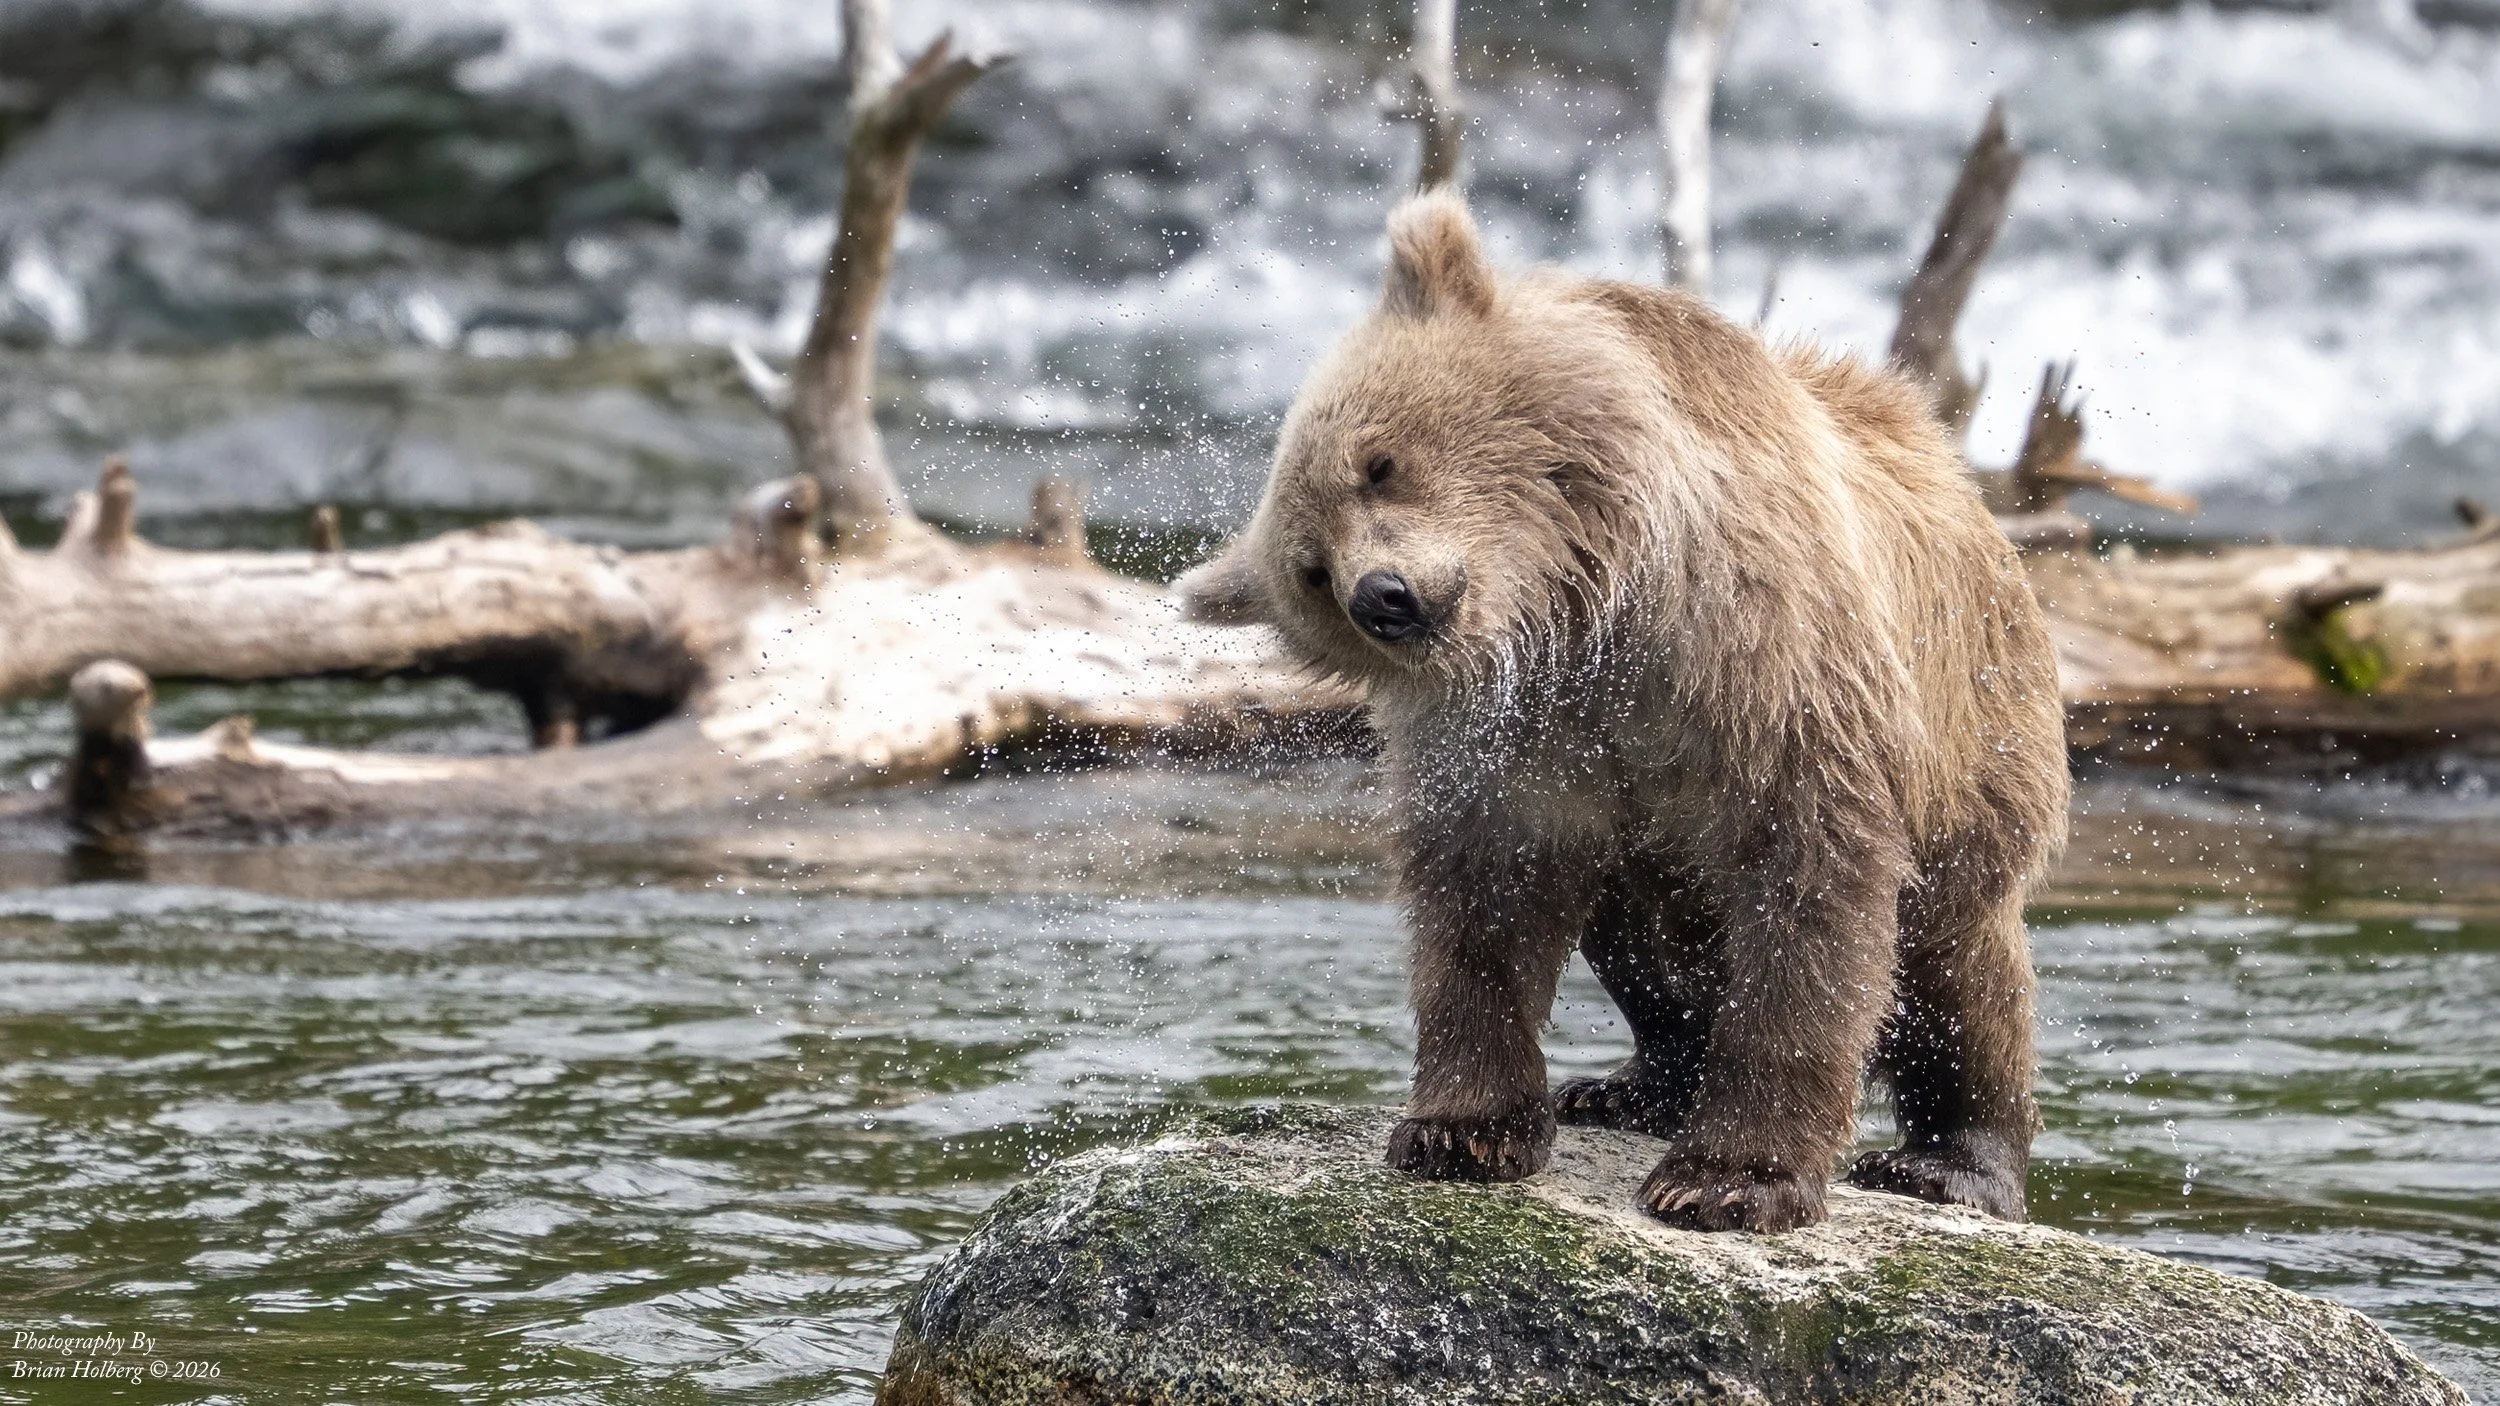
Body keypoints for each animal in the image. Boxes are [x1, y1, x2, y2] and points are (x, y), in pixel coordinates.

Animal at [1178, 191, 2068, 1233]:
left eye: (1380, 463)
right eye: (1312, 570)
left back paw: (1951, 1158)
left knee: (1955, 965)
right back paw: (1628, 1086)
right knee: (1644, 943)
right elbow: (1482, 906)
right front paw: (1460, 1130)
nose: (1384, 596)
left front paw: (1729, 1179)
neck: (1583, 617)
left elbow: (1812, 891)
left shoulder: (1767, 668)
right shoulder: (1518, 741)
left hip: (1978, 737)